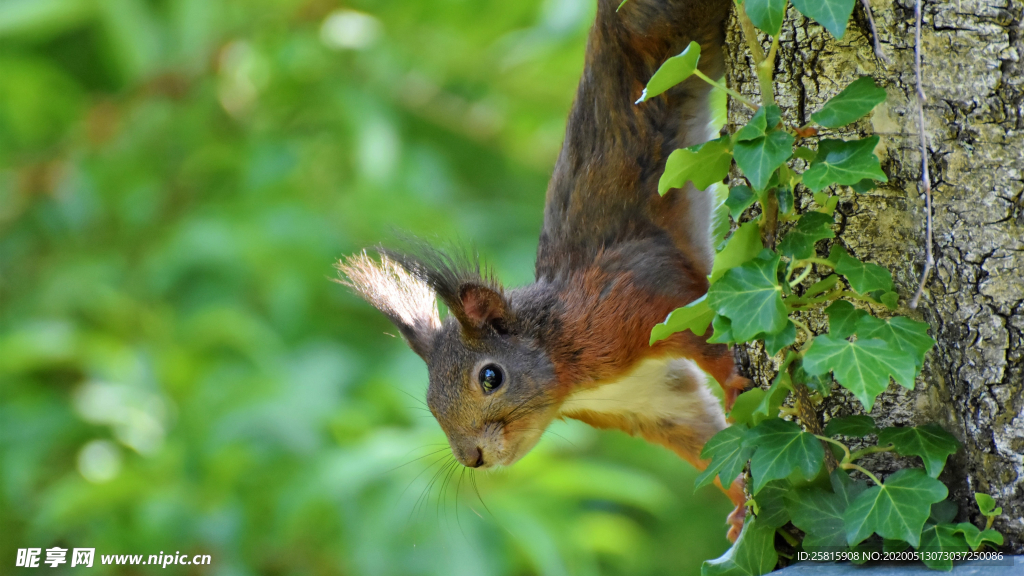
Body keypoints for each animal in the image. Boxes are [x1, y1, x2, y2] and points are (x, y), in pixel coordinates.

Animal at [339, 0, 749, 537]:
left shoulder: (642, 295)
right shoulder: (651, 402)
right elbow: (701, 441)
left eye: (491, 377)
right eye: (429, 403)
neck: (562, 359)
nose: (471, 457)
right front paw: (742, 505)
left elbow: (704, 322)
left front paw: (734, 377)